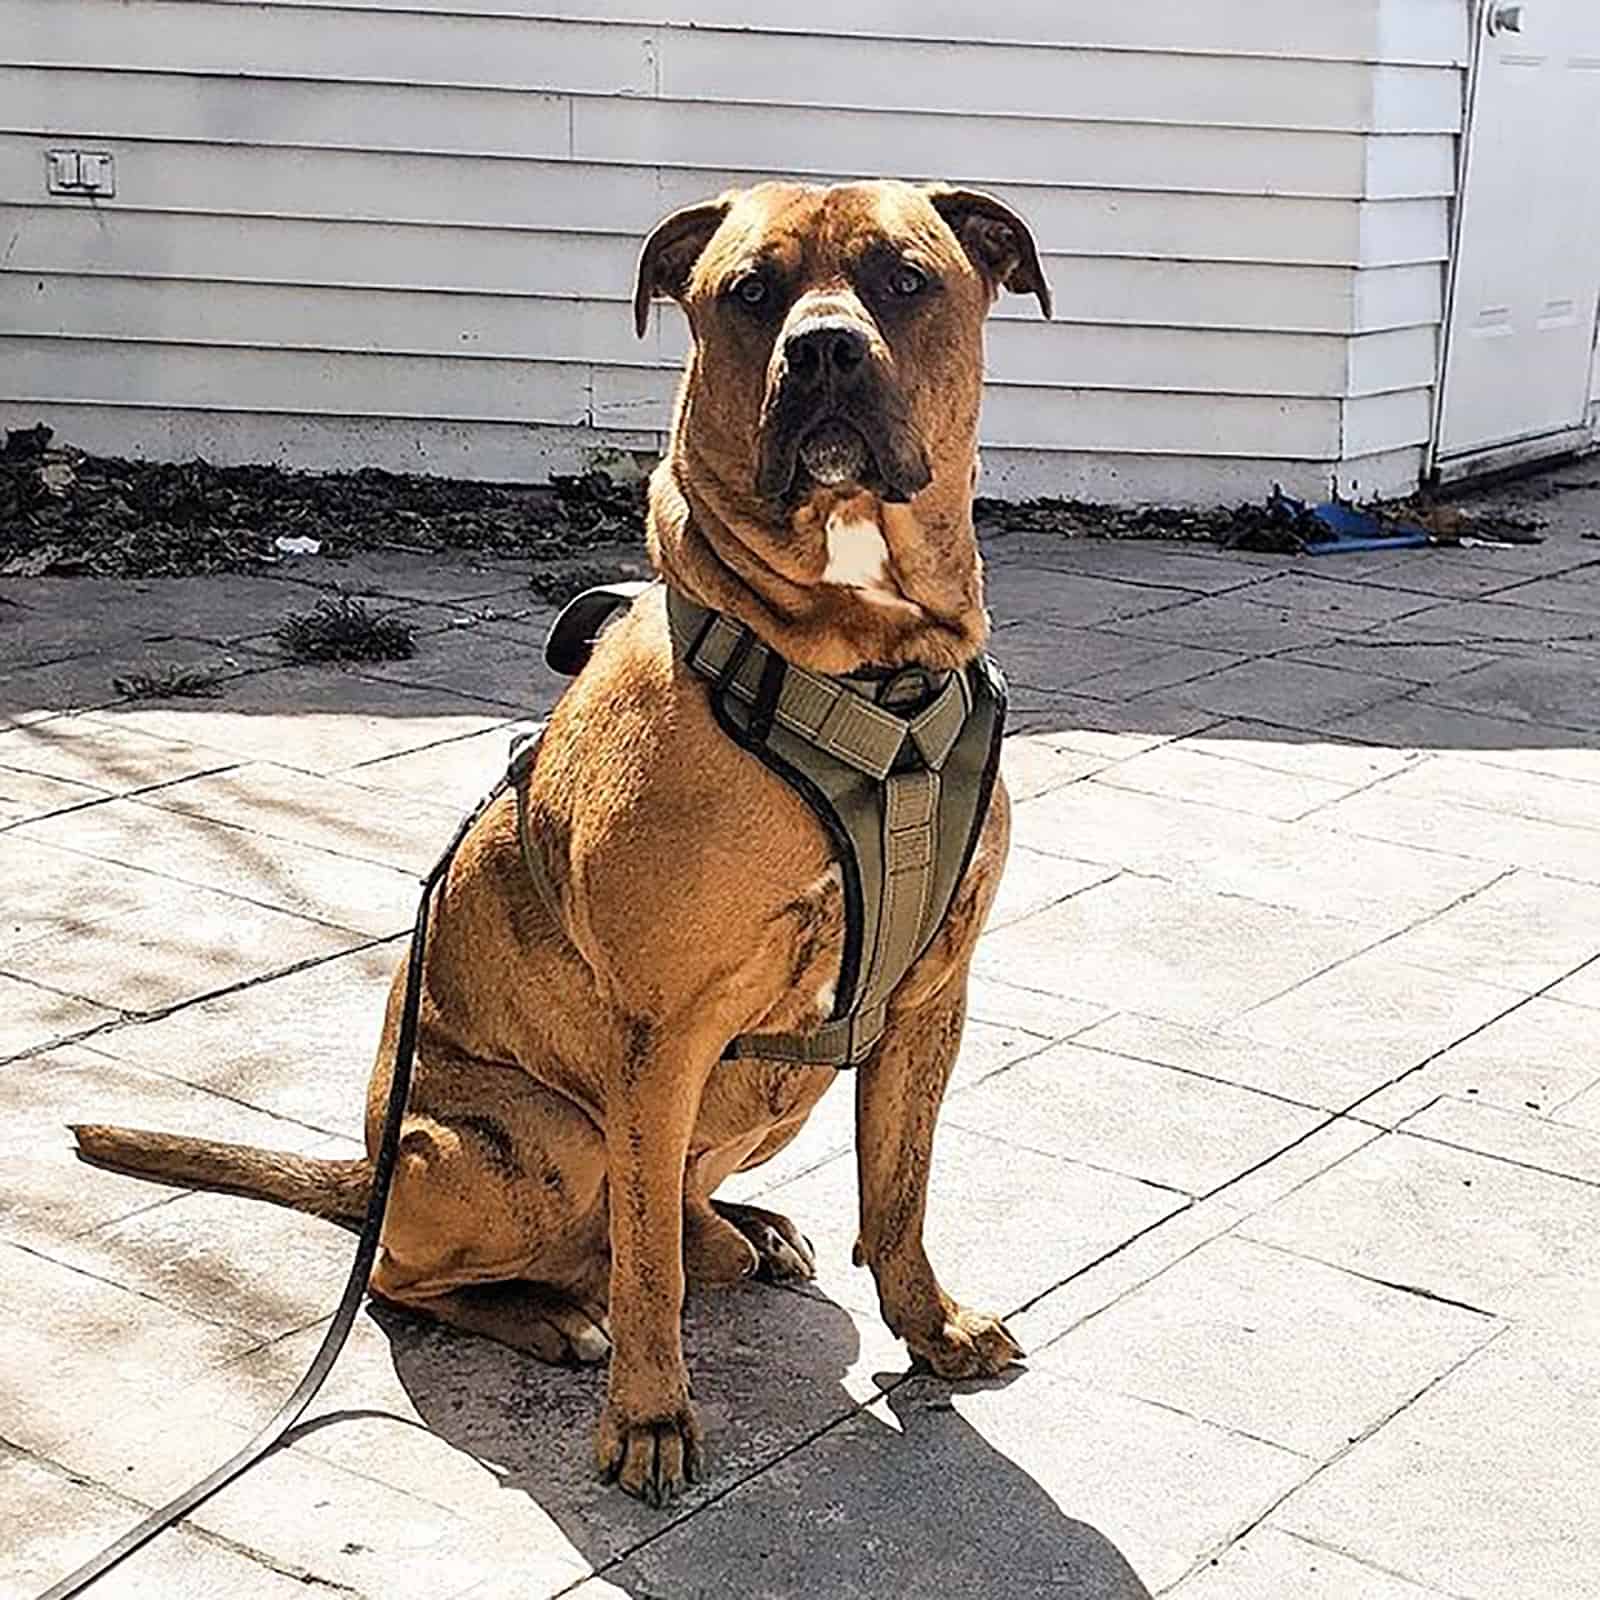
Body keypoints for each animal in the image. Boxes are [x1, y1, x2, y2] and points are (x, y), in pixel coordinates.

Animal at [72, 181, 1049, 1504]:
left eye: (905, 280)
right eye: (750, 293)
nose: (823, 351)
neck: (862, 672)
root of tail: (364, 1171)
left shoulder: (930, 997)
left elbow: (898, 1191)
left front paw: (930, 1326)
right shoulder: (659, 1032)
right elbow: (647, 1275)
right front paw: (646, 1418)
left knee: (677, 1218)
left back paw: (741, 1230)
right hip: (528, 1142)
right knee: (426, 1277)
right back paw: (551, 1314)